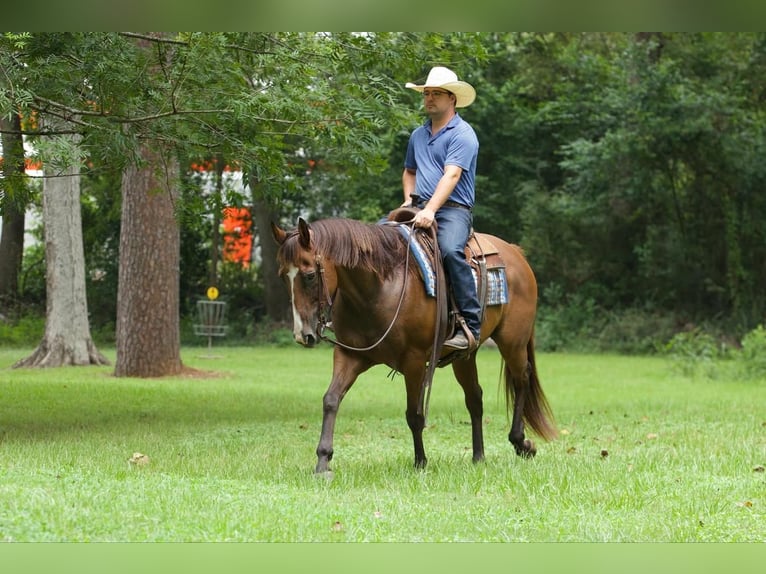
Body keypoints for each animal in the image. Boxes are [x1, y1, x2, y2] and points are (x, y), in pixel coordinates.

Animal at [272, 217, 560, 476]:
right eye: (283, 276)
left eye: (309, 276)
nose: (303, 335)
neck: (378, 290)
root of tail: (515, 252)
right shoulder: (349, 355)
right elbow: (331, 400)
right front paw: (323, 461)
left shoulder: (414, 362)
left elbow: (414, 414)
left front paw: (420, 462)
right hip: (465, 357)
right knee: (475, 397)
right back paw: (479, 456)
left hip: (513, 341)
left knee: (521, 379)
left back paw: (521, 442)